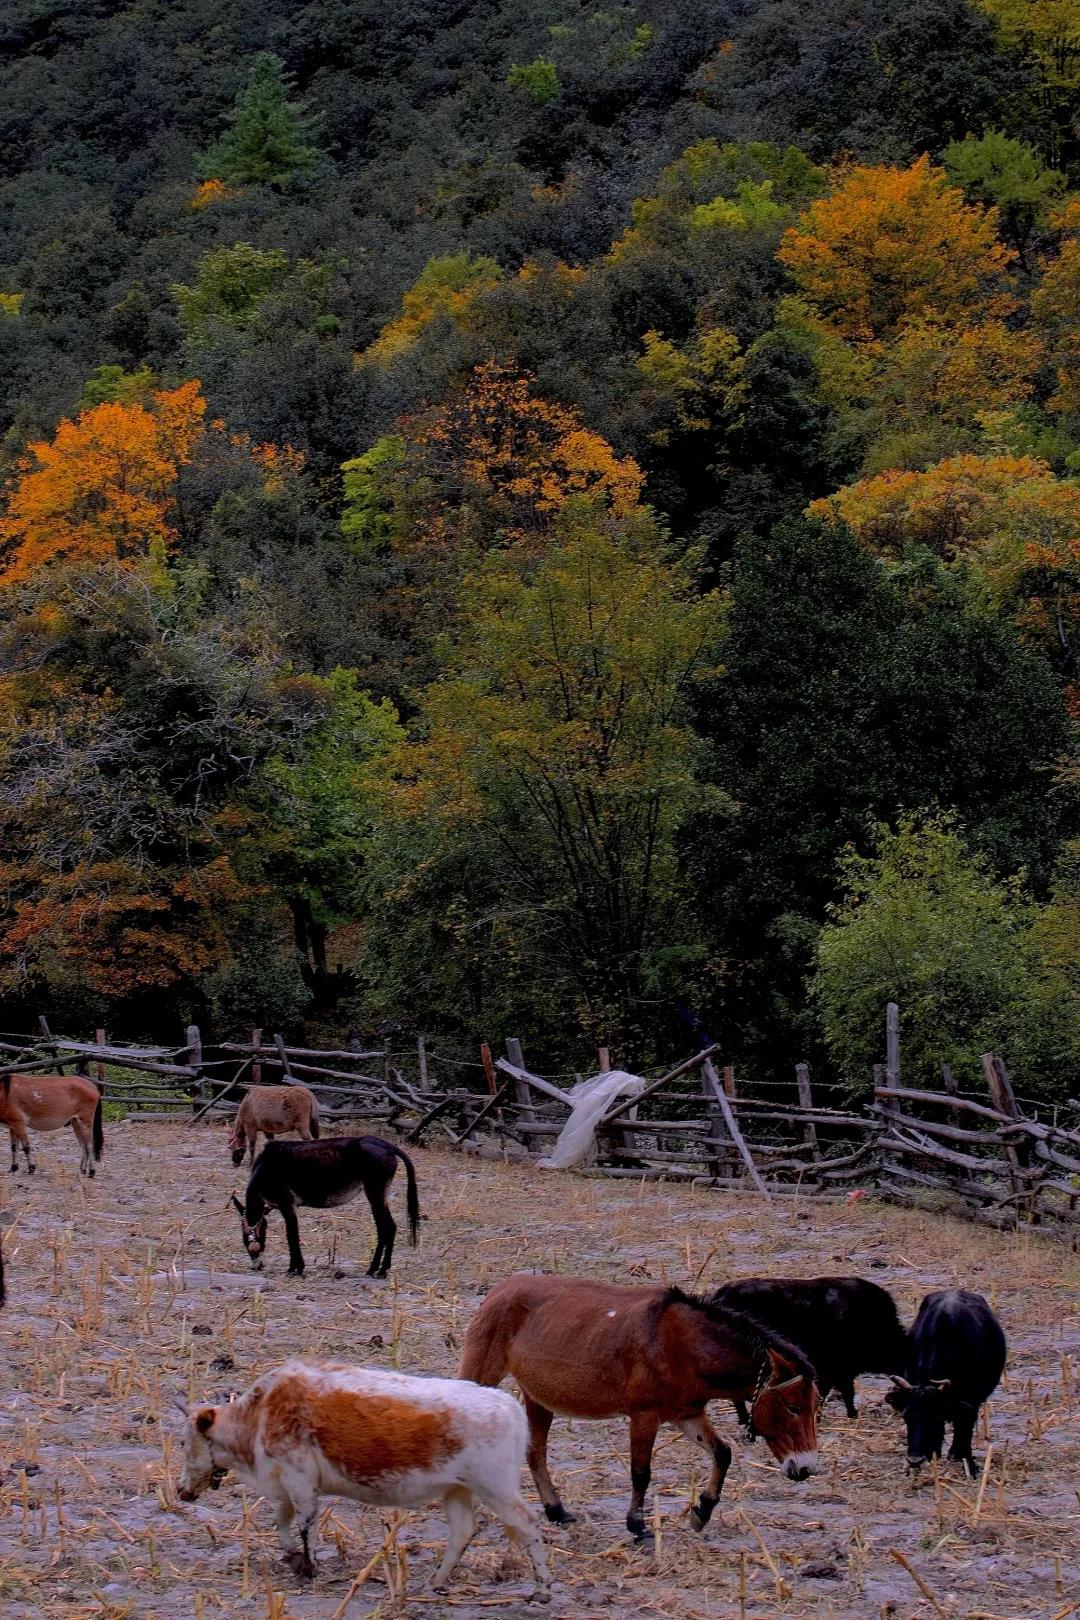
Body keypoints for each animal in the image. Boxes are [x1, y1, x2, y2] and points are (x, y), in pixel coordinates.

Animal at [179, 1354, 550, 1594]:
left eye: (183, 1441)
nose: (182, 1491)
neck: (262, 1411)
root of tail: (509, 1405)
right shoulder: (286, 1484)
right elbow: (281, 1521)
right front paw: (292, 1558)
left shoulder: (300, 1482)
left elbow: (304, 1526)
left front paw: (308, 1568)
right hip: (457, 1490)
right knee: (462, 1532)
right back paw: (434, 1582)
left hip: (497, 1490)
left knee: (527, 1523)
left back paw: (543, 1588)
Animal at [456, 1270, 819, 1535]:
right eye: (792, 1406)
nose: (805, 1468)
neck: (681, 1343)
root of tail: (501, 1289)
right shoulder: (644, 1416)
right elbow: (641, 1472)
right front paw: (637, 1526)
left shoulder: (687, 1414)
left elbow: (722, 1453)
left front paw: (702, 1510)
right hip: (482, 1377)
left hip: (538, 1398)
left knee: (536, 1454)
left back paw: (556, 1511)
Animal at [887, 1283, 1003, 1477]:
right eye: (907, 1416)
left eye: (934, 1416)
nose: (915, 1460)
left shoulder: (970, 1403)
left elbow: (964, 1431)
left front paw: (969, 1466)